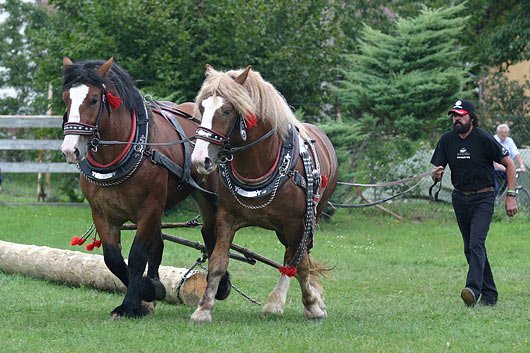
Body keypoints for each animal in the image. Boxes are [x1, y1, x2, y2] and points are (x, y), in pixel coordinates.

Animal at [60, 57, 229, 316]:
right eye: (66, 98)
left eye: (94, 99)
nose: (71, 149)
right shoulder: (102, 213)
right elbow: (113, 259)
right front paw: (147, 292)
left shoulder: (149, 208)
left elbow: (137, 256)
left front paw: (131, 303)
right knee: (160, 244)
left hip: (207, 196)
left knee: (212, 235)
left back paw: (221, 285)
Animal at [190, 64, 338, 322]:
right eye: (202, 107)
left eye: (226, 111)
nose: (200, 159)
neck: (258, 164)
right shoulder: (226, 218)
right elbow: (218, 262)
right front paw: (204, 308)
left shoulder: (297, 223)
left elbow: (300, 265)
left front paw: (311, 305)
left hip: (310, 217)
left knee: (296, 256)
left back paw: (285, 301)